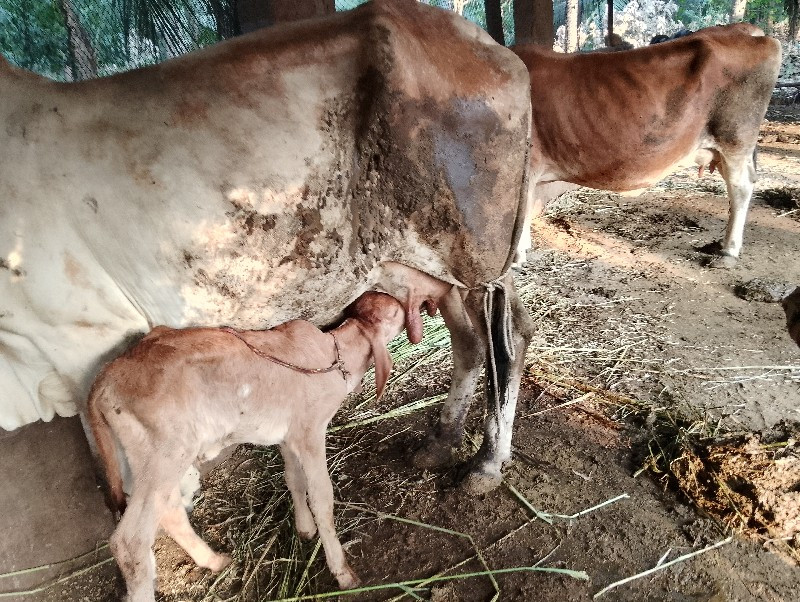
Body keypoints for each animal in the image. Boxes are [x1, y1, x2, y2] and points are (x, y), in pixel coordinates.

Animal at [512, 24, 780, 266]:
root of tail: (745, 30)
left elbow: (520, 213)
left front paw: (516, 258)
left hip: (735, 139)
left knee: (740, 187)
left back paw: (728, 251)